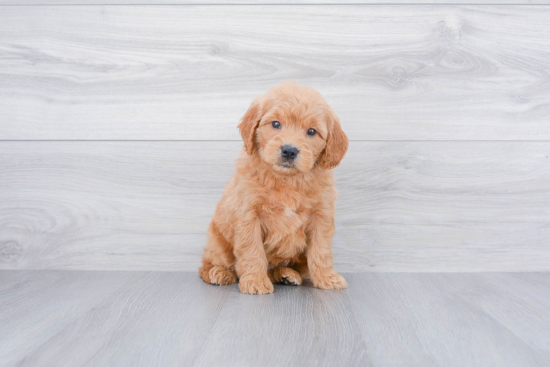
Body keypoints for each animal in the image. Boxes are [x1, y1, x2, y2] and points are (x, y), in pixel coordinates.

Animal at [201, 82, 352, 294]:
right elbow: (252, 249)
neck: (287, 180)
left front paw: (327, 277)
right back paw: (220, 273)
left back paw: (286, 274)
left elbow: (321, 251)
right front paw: (255, 280)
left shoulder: (321, 215)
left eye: (312, 131)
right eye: (275, 124)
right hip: (218, 241)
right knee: (207, 265)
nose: (289, 150)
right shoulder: (248, 215)